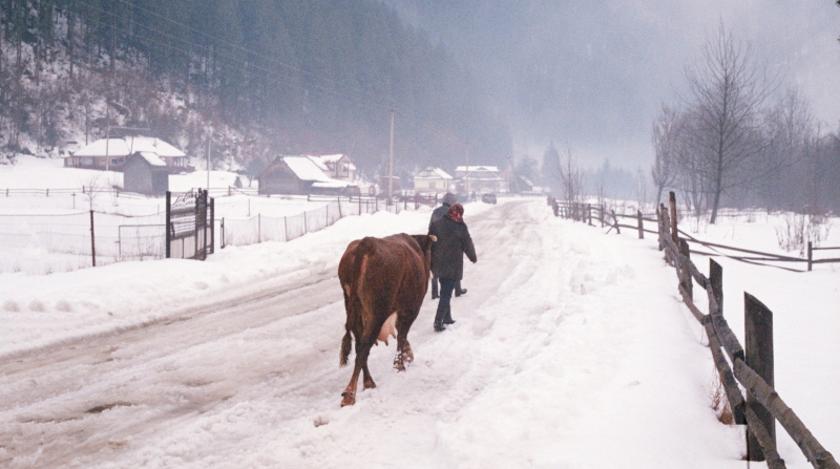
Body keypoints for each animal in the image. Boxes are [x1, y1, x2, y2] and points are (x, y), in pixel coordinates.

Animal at [338, 232, 436, 404]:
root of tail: (366, 245)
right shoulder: (409, 309)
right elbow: (402, 335)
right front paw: (400, 364)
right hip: (378, 313)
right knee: (364, 347)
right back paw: (350, 394)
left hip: (355, 311)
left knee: (359, 345)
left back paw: (368, 382)